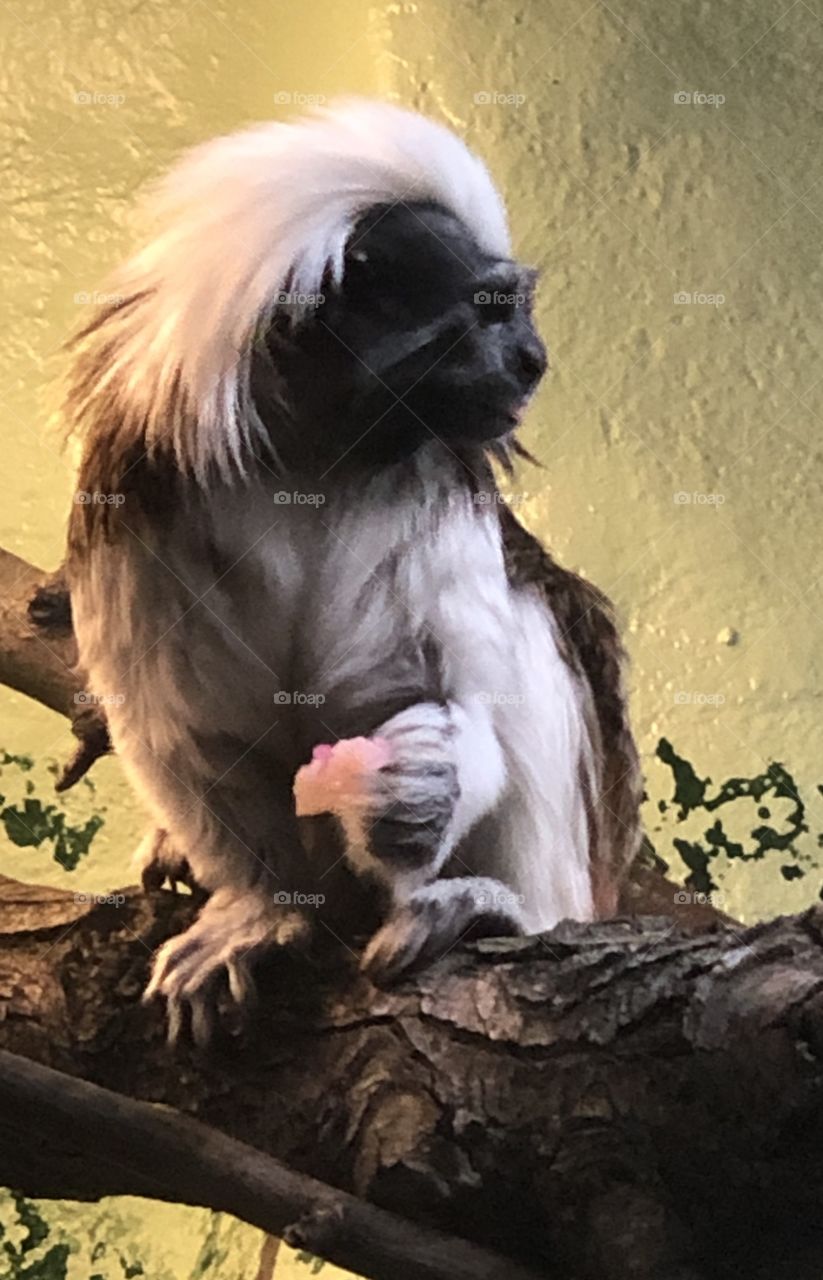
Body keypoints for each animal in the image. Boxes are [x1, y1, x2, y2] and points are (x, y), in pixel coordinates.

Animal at [64, 99, 643, 1042]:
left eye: (516, 312)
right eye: (489, 312)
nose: (534, 359)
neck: (316, 452)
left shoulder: (441, 488)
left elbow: (451, 695)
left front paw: (418, 787)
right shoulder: (140, 497)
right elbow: (184, 729)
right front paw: (259, 908)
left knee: (536, 624)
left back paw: (492, 910)